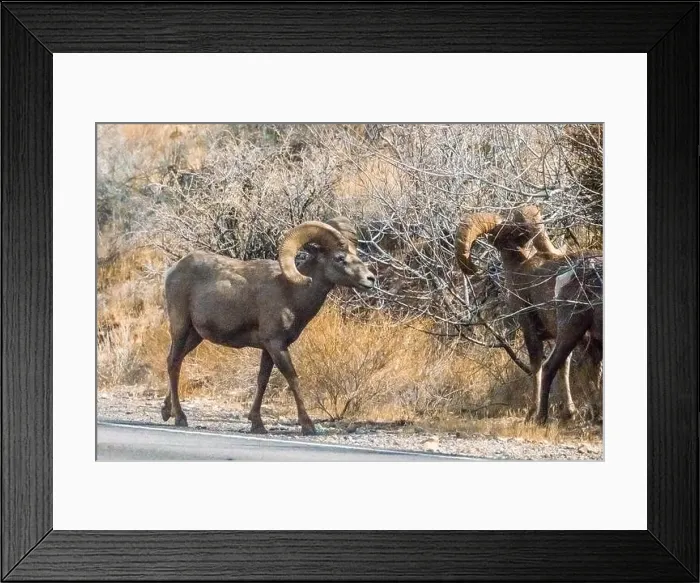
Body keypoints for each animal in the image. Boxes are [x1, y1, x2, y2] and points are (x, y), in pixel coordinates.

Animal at [162, 217, 376, 435]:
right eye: (340, 258)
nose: (370, 279)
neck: (291, 293)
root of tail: (173, 270)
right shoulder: (276, 344)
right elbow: (293, 378)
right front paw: (307, 425)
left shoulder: (268, 348)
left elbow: (262, 380)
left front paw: (257, 423)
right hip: (181, 328)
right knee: (174, 363)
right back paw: (180, 417)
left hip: (195, 335)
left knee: (177, 360)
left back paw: (166, 411)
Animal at [455, 205, 602, 424]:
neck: (522, 268)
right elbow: (564, 368)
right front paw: (570, 413)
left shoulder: (530, 329)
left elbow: (537, 366)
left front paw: (532, 413)